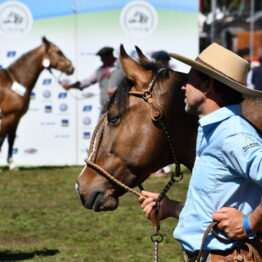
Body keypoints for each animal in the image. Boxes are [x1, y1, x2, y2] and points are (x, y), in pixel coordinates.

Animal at [0, 36, 74, 170]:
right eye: (59, 52)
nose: (71, 68)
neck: (15, 81)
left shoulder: (16, 118)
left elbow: (11, 139)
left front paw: (12, 165)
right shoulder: (8, 116)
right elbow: (2, 138)